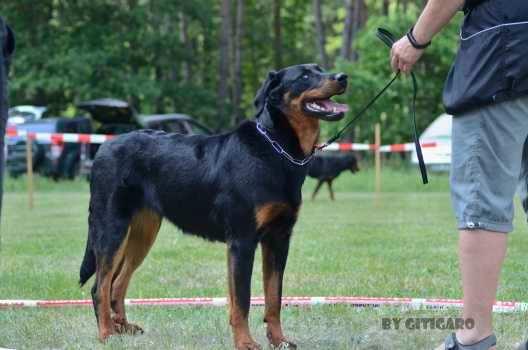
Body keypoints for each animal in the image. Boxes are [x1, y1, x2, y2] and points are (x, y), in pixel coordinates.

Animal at [78, 63, 348, 350]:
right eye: (305, 75)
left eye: (321, 69)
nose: (343, 77)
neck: (278, 150)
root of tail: (103, 147)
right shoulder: (242, 241)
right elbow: (242, 300)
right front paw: (245, 343)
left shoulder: (279, 239)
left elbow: (274, 298)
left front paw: (279, 340)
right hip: (112, 227)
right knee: (100, 286)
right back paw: (106, 334)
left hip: (143, 232)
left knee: (117, 283)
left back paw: (123, 329)